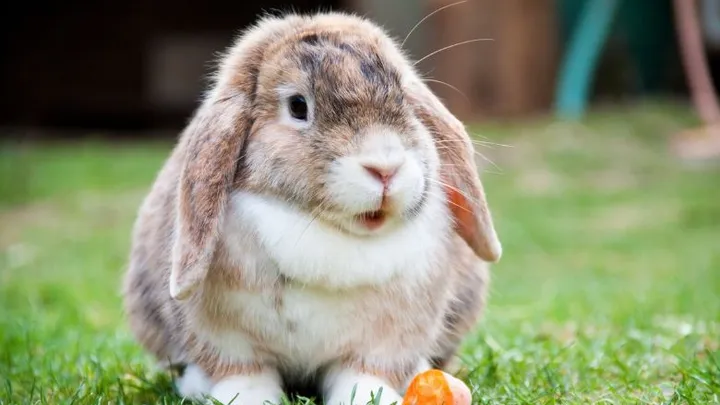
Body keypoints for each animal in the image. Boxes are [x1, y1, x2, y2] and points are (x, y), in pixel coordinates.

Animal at [122, 11, 501, 405]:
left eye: (404, 99)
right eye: (298, 106)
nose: (385, 168)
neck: (327, 231)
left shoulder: (386, 341)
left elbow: (363, 373)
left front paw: (370, 396)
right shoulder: (226, 339)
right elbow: (243, 372)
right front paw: (248, 398)